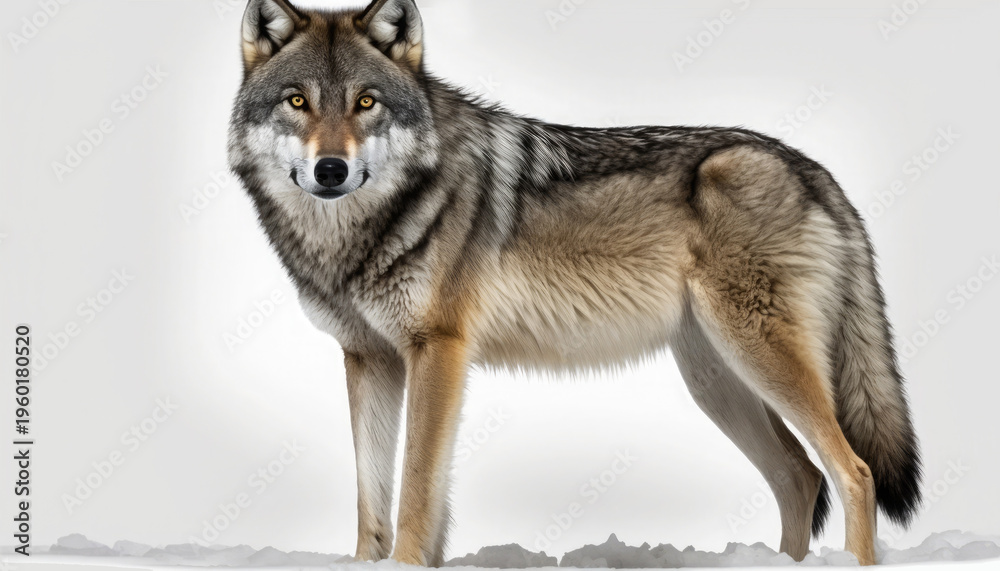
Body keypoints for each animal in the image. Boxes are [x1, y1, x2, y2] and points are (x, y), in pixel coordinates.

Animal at [228, 0, 922, 566]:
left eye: (366, 101)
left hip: (757, 359)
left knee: (853, 473)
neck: (357, 234)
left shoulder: (438, 351)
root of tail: (814, 170)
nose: (331, 169)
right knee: (800, 477)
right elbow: (374, 497)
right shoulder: (369, 358)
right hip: (717, 379)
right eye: (297, 101)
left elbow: (416, 493)